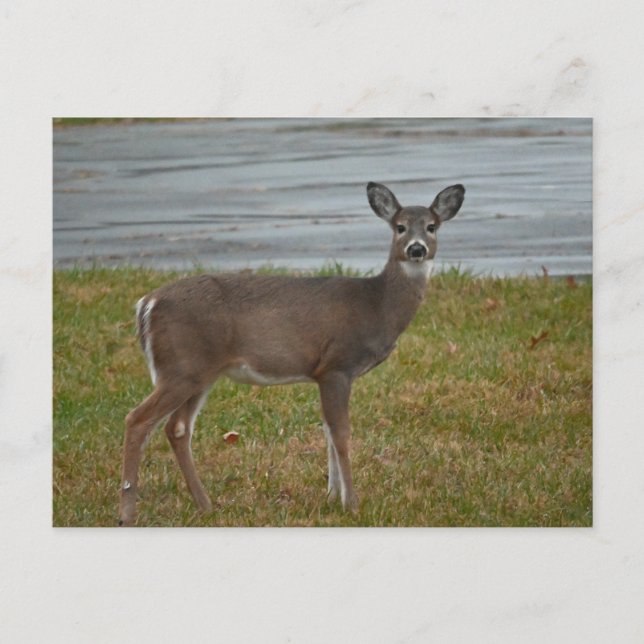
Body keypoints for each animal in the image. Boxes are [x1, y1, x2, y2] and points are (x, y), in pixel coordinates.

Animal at [118, 182, 465, 525]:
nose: (417, 249)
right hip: (182, 366)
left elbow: (327, 431)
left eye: (432, 226)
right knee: (138, 419)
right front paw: (351, 503)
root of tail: (146, 304)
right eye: (400, 227)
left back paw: (205, 505)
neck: (376, 305)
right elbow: (341, 433)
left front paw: (331, 497)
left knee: (177, 428)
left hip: (198, 372)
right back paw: (127, 512)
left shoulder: (325, 373)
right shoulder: (336, 365)